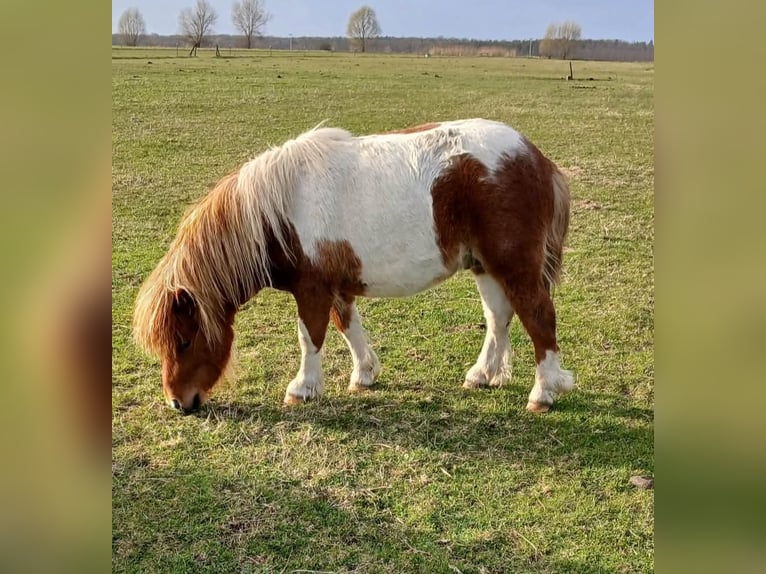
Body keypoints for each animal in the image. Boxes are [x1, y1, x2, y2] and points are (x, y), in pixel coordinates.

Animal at [133, 118, 575, 414]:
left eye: (184, 340)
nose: (178, 403)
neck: (280, 210)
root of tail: (535, 158)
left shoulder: (311, 289)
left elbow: (310, 337)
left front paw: (303, 388)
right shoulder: (337, 287)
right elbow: (348, 327)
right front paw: (364, 374)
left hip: (515, 266)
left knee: (539, 317)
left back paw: (543, 393)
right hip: (485, 266)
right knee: (499, 318)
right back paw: (483, 374)